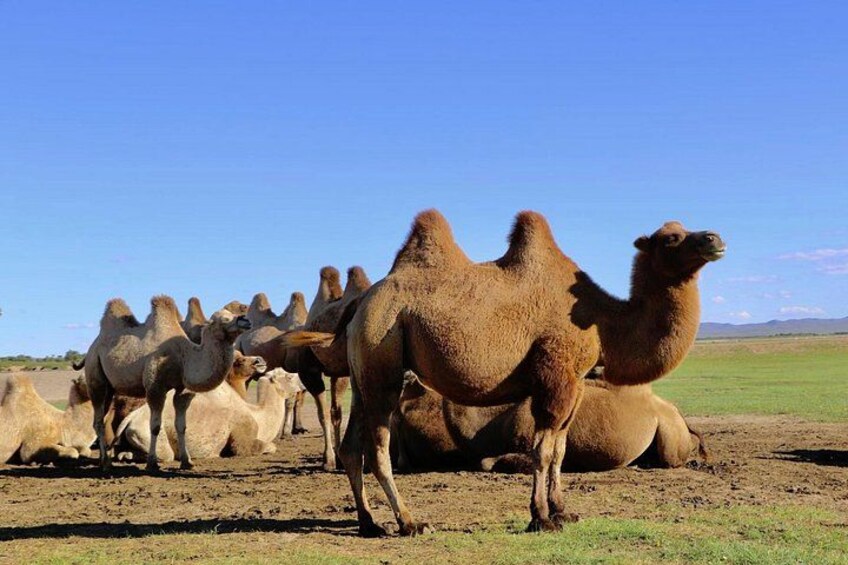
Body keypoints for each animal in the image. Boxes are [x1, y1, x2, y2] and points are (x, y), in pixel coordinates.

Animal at [80, 295, 251, 471]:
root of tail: (92, 347)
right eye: (223, 319)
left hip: (110, 389)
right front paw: (152, 463)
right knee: (98, 420)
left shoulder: (183, 391)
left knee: (100, 418)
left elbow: (182, 426)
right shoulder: (155, 388)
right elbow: (155, 426)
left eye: (232, 314)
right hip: (95, 375)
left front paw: (187, 462)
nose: (245, 320)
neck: (184, 357)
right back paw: (106, 463)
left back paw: (102, 460)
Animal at [116, 368, 304, 462]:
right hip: (148, 433)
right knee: (166, 455)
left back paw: (125, 455)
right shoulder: (243, 434)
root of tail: (131, 418)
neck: (257, 414)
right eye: (289, 376)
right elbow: (267, 447)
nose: (302, 383)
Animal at [282, 266, 372, 470]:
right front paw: (329, 460)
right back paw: (332, 458)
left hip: (338, 373)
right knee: (327, 412)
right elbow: (323, 414)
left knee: (335, 411)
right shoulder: (310, 372)